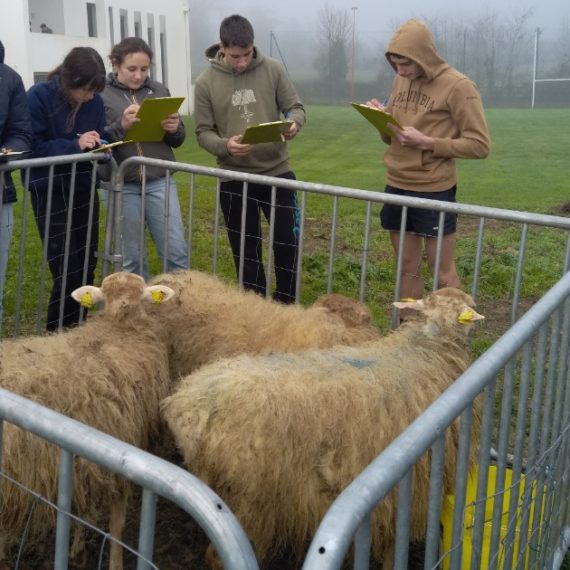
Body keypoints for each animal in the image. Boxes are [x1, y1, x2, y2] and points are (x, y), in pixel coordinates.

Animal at [0, 270, 174, 568]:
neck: (119, 328)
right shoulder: (123, 453)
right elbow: (117, 525)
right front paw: (114, 562)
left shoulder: (82, 457)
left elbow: (79, 509)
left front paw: (77, 549)